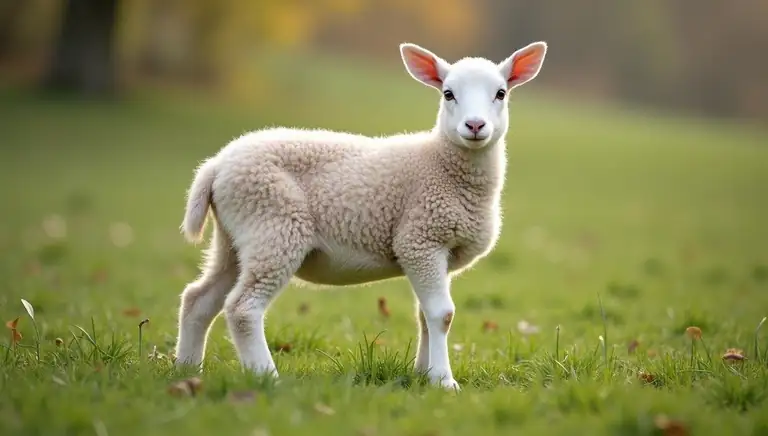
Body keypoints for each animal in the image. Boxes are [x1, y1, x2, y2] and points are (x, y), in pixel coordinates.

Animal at [174, 40, 548, 391]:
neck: (441, 165)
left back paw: (187, 369)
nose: (475, 125)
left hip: (234, 240)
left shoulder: (438, 250)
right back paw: (267, 376)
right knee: (242, 308)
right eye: (448, 93)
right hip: (274, 227)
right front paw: (443, 380)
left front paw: (423, 374)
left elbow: (425, 316)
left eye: (501, 93)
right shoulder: (420, 240)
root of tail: (216, 165)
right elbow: (442, 315)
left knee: (198, 299)